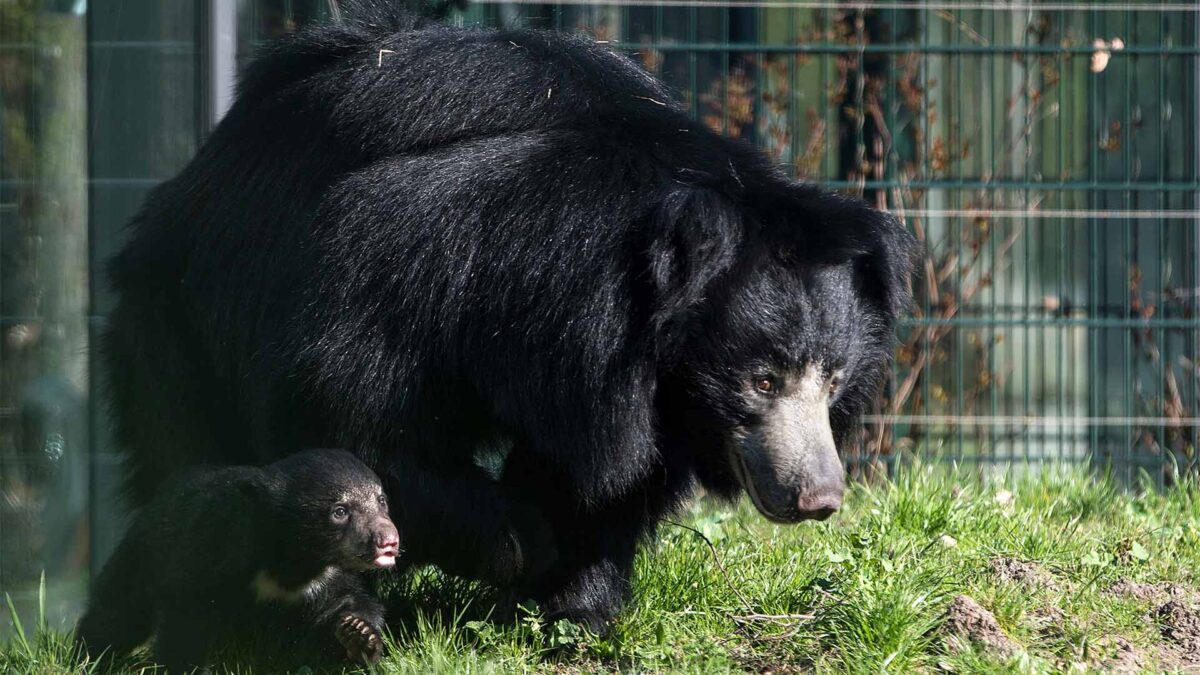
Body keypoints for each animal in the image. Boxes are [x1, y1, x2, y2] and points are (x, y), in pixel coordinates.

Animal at [76, 446, 403, 667]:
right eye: (340, 511)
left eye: (381, 501)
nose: (388, 541)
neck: (294, 560)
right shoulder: (215, 550)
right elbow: (185, 611)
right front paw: (186, 666)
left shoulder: (329, 577)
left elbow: (351, 602)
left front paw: (359, 635)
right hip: (143, 551)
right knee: (118, 612)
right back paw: (89, 657)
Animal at [105, 2, 916, 629]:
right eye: (762, 380)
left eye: (833, 380)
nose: (819, 497)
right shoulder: (434, 248)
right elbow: (345, 403)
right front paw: (522, 542)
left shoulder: (625, 381)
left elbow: (611, 475)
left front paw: (576, 603)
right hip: (181, 314)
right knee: (188, 447)